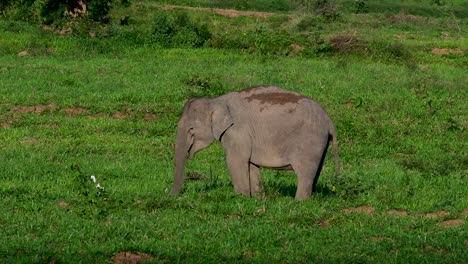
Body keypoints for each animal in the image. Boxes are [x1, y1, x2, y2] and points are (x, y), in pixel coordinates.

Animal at [170, 85, 338, 199]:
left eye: (191, 129)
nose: (172, 195)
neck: (216, 100)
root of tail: (329, 121)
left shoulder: (237, 131)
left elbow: (235, 161)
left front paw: (240, 197)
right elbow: (250, 163)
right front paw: (256, 198)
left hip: (309, 141)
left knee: (305, 172)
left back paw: (299, 201)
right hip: (320, 144)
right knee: (316, 171)